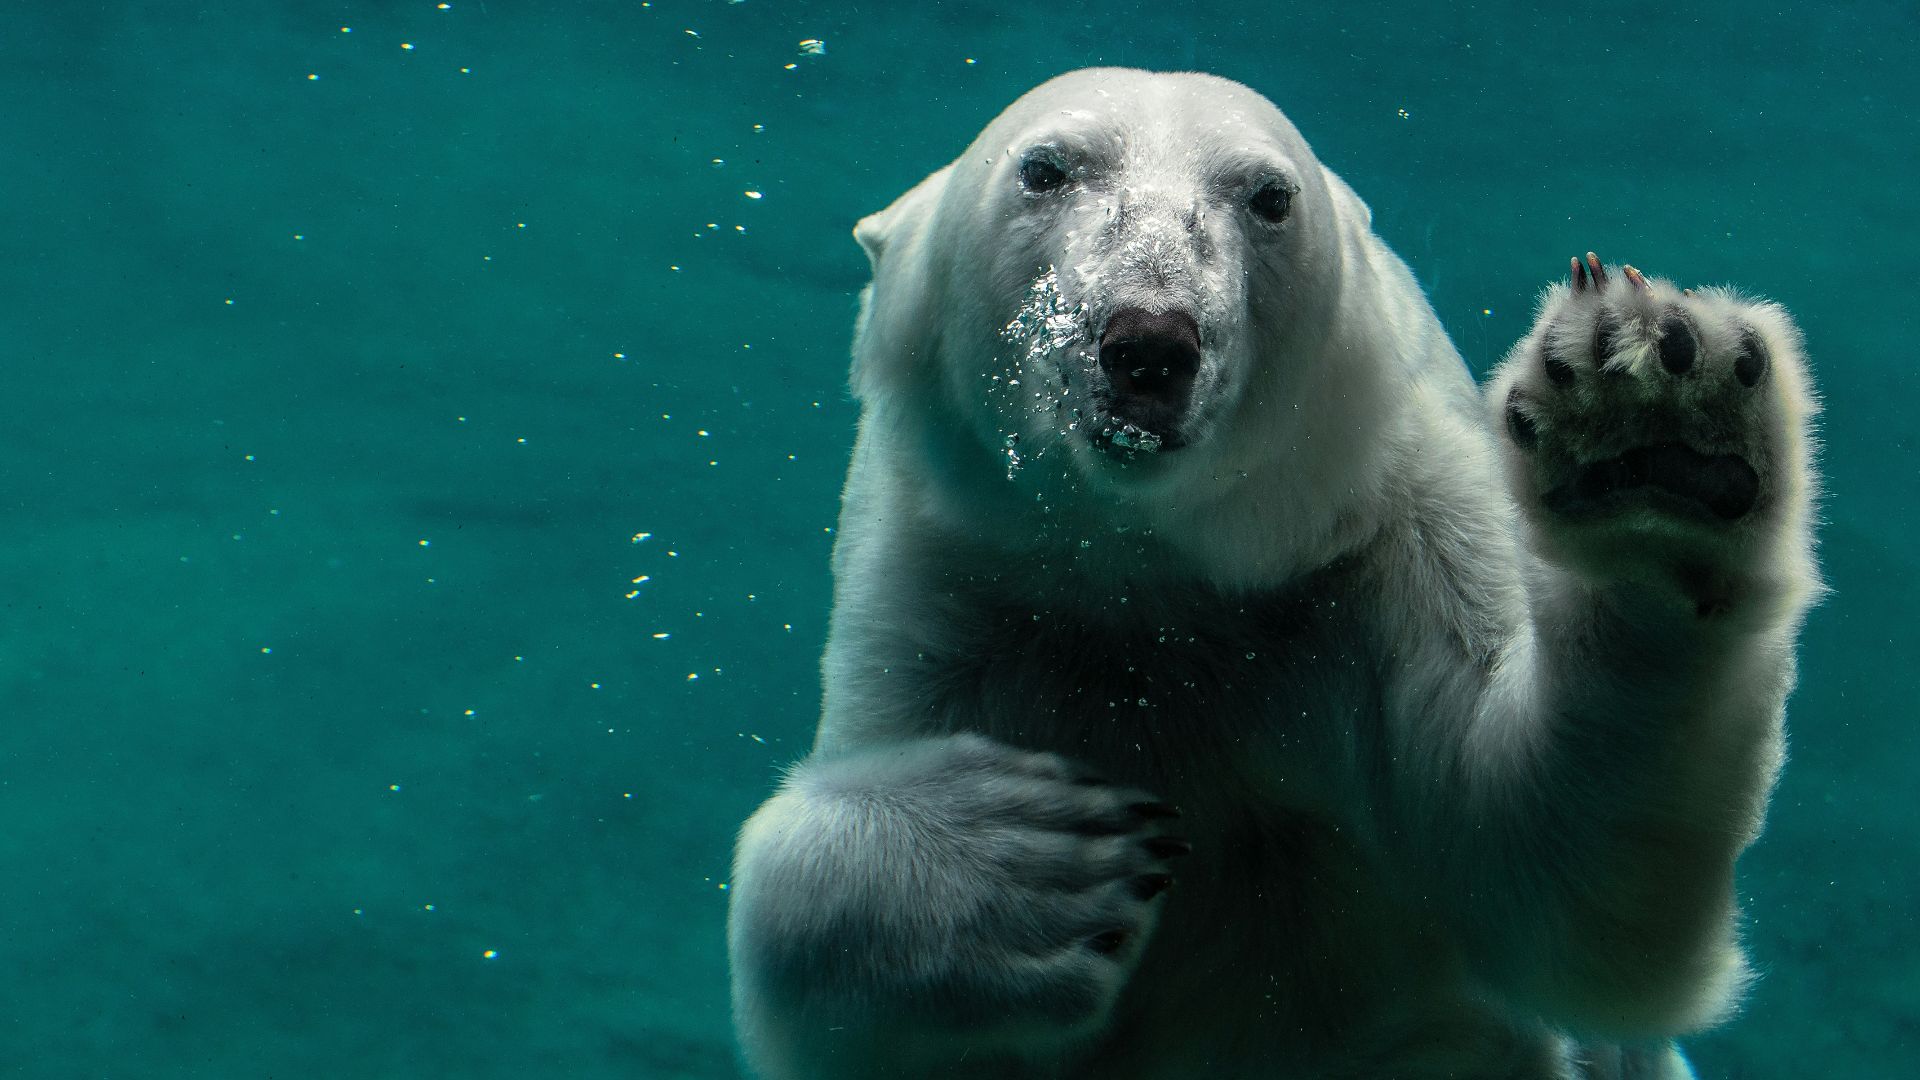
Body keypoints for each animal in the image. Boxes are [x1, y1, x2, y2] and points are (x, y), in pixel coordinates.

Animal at [726, 68, 1819, 1080]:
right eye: (1044, 170)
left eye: (1268, 195)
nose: (1150, 341)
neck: (1157, 575)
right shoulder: (958, 585)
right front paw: (1027, 861)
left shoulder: (1387, 541)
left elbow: (1549, 874)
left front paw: (1654, 431)